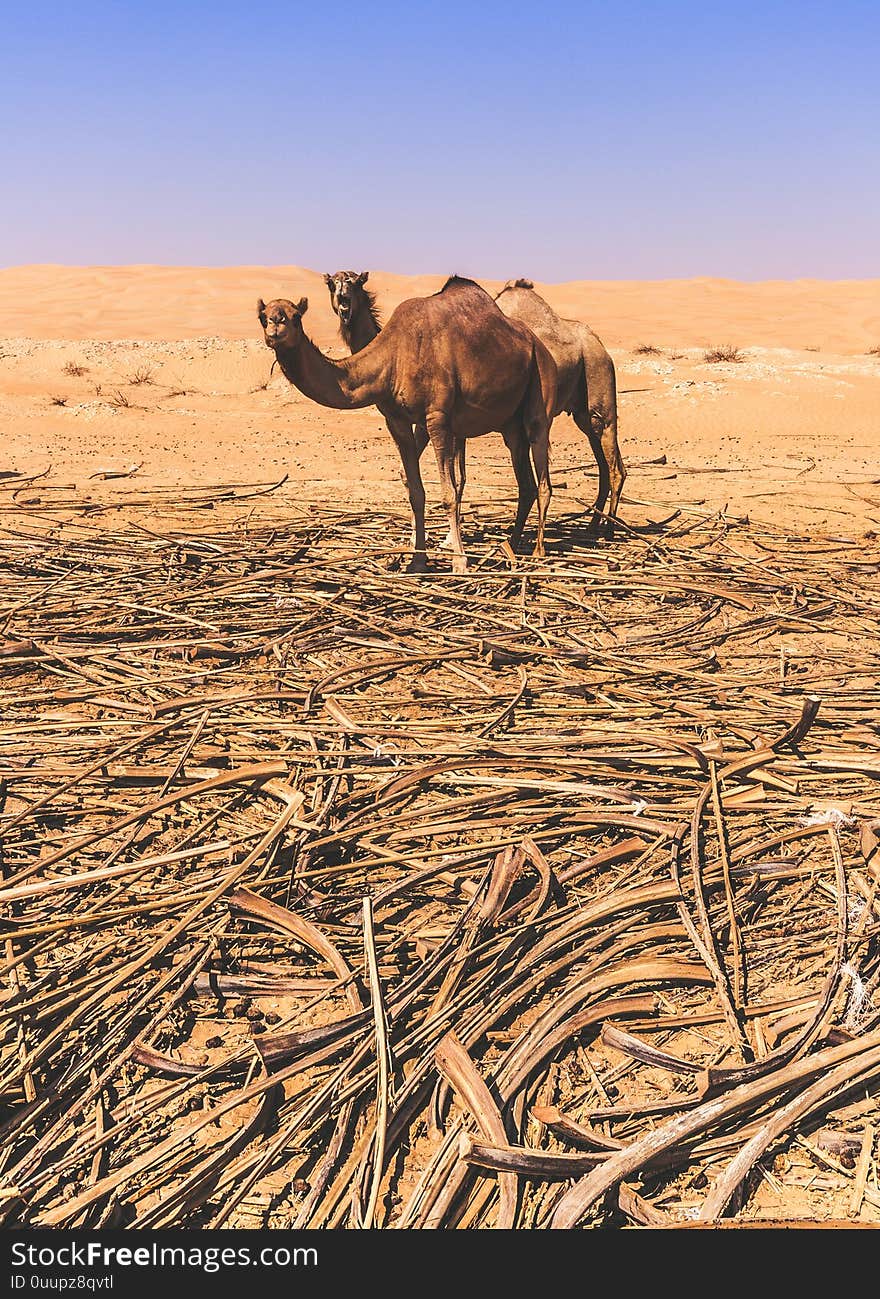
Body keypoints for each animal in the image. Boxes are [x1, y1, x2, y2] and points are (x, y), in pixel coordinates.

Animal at [257, 275, 556, 574]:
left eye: (296, 316)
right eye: (262, 316)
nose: (276, 324)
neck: (393, 358)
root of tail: (535, 341)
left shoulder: (438, 418)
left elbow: (448, 493)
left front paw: (459, 561)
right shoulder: (397, 421)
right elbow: (415, 492)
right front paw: (417, 561)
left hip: (539, 384)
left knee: (541, 468)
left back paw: (538, 552)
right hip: (509, 423)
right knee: (525, 482)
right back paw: (511, 546)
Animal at [493, 279, 623, 532]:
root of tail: (598, 344)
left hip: (599, 381)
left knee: (614, 466)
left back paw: (609, 530)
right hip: (583, 413)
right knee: (604, 465)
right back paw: (593, 525)